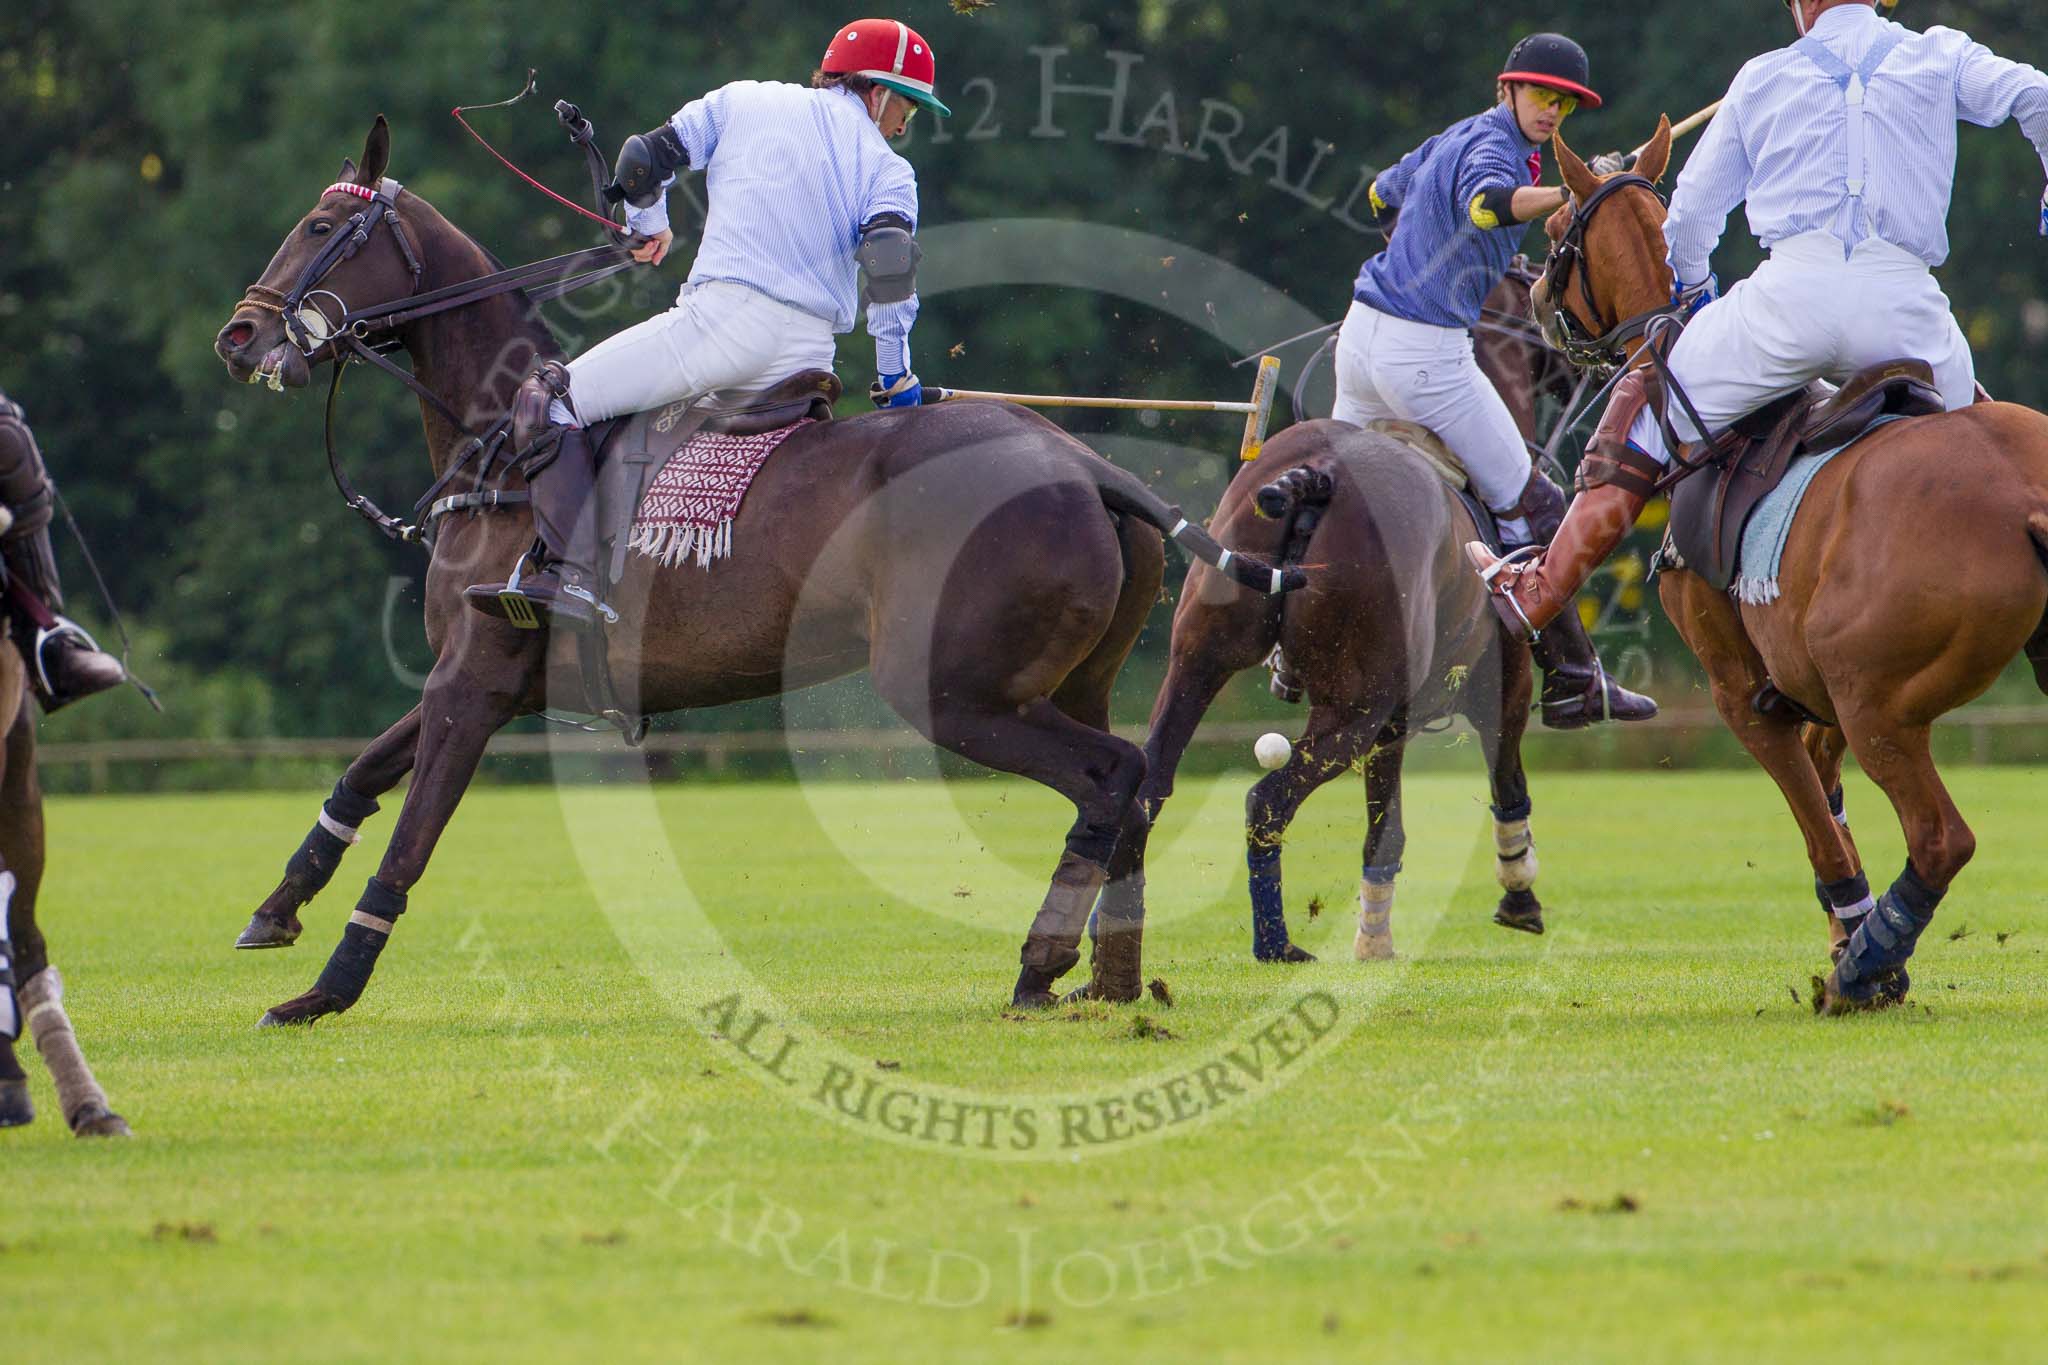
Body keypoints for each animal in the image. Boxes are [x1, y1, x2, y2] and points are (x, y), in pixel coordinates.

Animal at [211, 117, 1294, 1023]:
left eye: (319, 227)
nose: (239, 336)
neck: (497, 455)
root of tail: (1086, 465)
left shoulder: (472, 680)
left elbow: (410, 839)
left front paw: (321, 994)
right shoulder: (489, 678)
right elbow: (361, 771)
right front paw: (274, 910)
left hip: (952, 688)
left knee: (1110, 777)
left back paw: (1041, 963)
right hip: (1066, 679)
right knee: (1136, 785)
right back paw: (1109, 980)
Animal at [1531, 125, 2048, 1015]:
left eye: (1560, 223)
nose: (1531, 293)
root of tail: (2024, 497)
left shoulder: (1741, 690)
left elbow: (1817, 824)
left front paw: (1860, 952)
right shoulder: (1811, 684)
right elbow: (1827, 794)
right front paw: (1847, 934)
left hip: (1878, 702)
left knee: (1940, 837)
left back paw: (1861, 970)